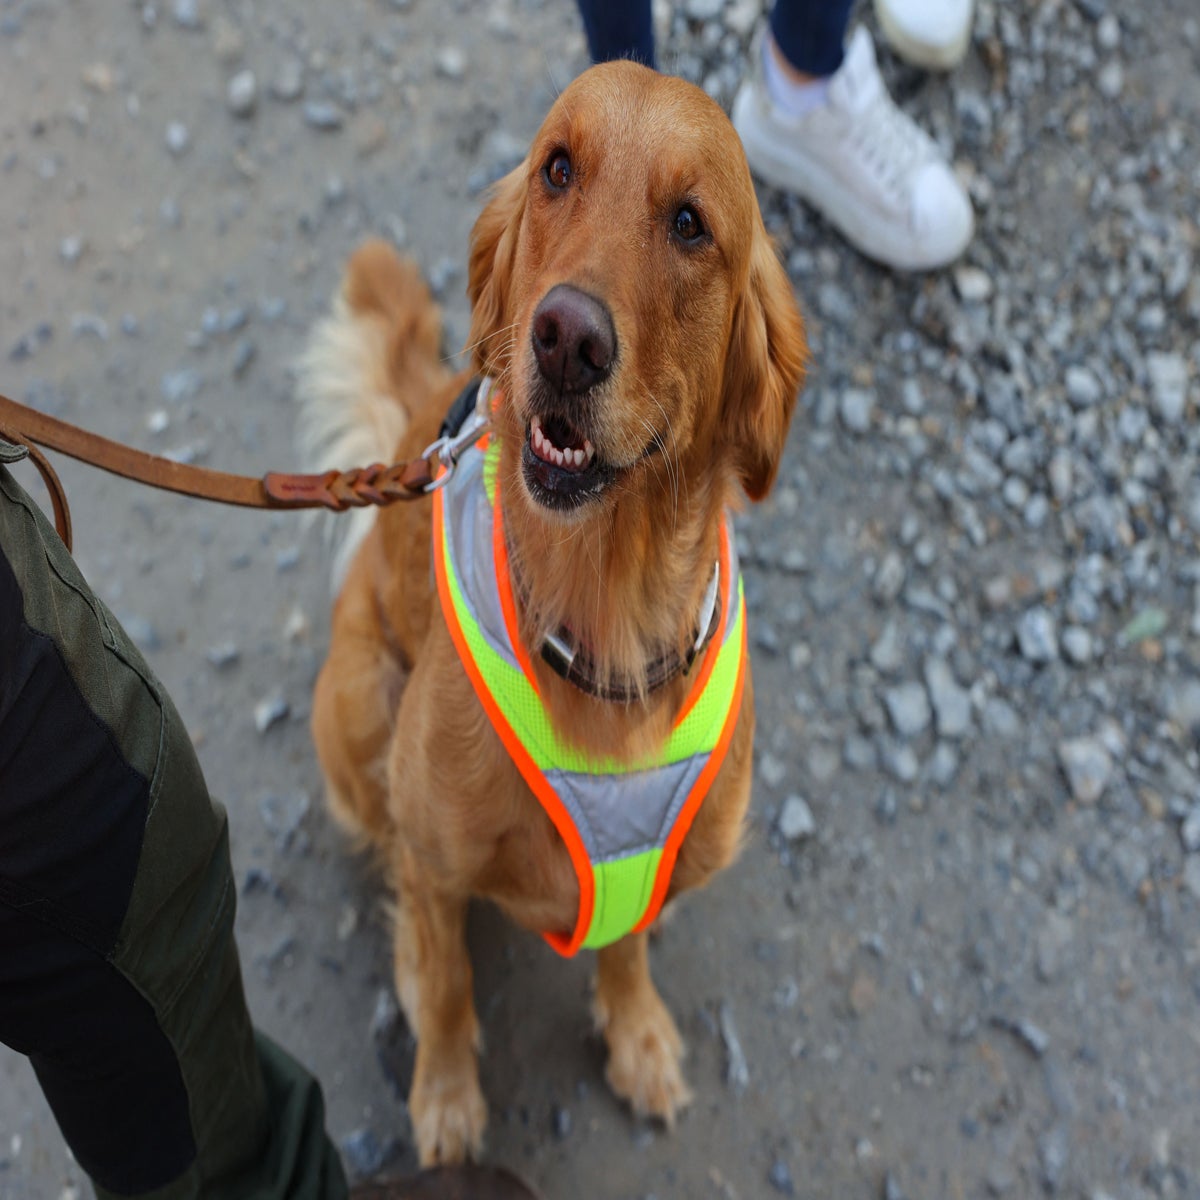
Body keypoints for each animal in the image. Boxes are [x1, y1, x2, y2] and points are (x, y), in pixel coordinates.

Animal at [297, 60, 806, 1166]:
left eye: (691, 224)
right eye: (557, 169)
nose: (567, 337)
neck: (602, 624)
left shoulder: (652, 866)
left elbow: (627, 946)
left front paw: (639, 1034)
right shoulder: (437, 856)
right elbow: (447, 980)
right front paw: (446, 1099)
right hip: (354, 710)